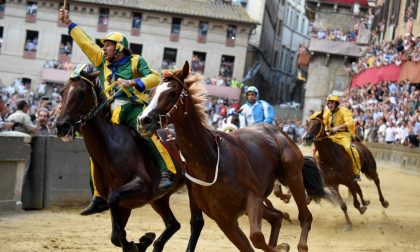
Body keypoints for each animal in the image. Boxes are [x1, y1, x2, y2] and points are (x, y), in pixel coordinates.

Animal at [55, 67, 205, 252]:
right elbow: (115, 235)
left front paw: (137, 243)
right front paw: (142, 241)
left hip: (192, 188)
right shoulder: (124, 207)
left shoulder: (141, 185)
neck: (111, 148)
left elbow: (114, 200)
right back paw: (156, 243)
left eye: (82, 92)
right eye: (62, 91)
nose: (61, 126)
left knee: (196, 222)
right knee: (173, 224)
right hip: (159, 199)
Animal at [136, 61, 330, 252]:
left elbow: (257, 237)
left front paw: (281, 246)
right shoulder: (225, 220)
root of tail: (278, 132)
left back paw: (301, 244)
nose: (143, 120)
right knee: (276, 216)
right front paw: (281, 246)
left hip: (292, 174)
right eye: (152, 91)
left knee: (305, 216)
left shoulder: (253, 198)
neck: (210, 162)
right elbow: (251, 243)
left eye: (172, 93)